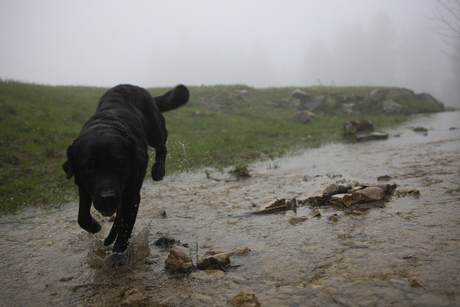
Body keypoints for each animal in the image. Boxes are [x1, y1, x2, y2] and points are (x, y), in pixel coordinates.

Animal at [63, 83, 189, 253]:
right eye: (88, 167)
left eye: (118, 164)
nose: (107, 198)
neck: (106, 125)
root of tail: (135, 87)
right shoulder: (83, 185)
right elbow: (82, 216)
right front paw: (94, 226)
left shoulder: (131, 195)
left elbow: (125, 229)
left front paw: (117, 255)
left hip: (155, 131)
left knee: (162, 145)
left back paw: (158, 170)